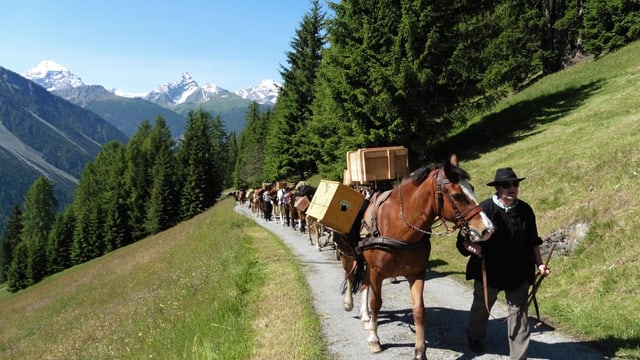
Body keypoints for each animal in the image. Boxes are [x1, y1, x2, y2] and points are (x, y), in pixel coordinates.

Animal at [338, 153, 492, 358]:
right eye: (457, 195)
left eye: (472, 189)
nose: (487, 229)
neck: (399, 226)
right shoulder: (377, 273)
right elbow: (377, 302)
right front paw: (374, 340)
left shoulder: (416, 273)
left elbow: (419, 310)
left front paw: (420, 350)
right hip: (349, 255)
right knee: (349, 276)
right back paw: (349, 303)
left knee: (363, 282)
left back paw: (365, 316)